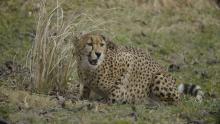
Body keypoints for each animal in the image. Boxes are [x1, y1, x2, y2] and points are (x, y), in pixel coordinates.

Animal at [73, 33, 204, 103]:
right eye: (89, 44)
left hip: (158, 77)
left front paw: (111, 100)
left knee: (176, 101)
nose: (98, 54)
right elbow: (86, 88)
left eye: (101, 45)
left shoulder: (127, 59)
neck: (89, 68)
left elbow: (118, 87)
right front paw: (83, 97)